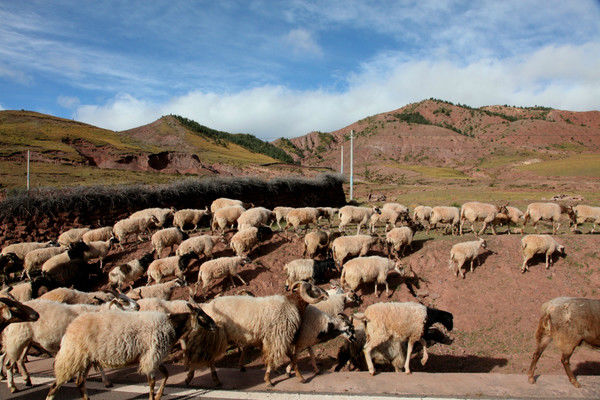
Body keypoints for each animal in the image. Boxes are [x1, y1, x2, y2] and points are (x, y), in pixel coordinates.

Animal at [45, 304, 217, 400]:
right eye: (202, 316)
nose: (215, 326)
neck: (172, 326)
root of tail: (69, 330)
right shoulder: (151, 355)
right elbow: (152, 382)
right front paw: (153, 397)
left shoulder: (153, 357)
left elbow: (166, 374)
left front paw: (159, 395)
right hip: (73, 357)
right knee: (56, 384)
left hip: (85, 360)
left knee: (80, 383)